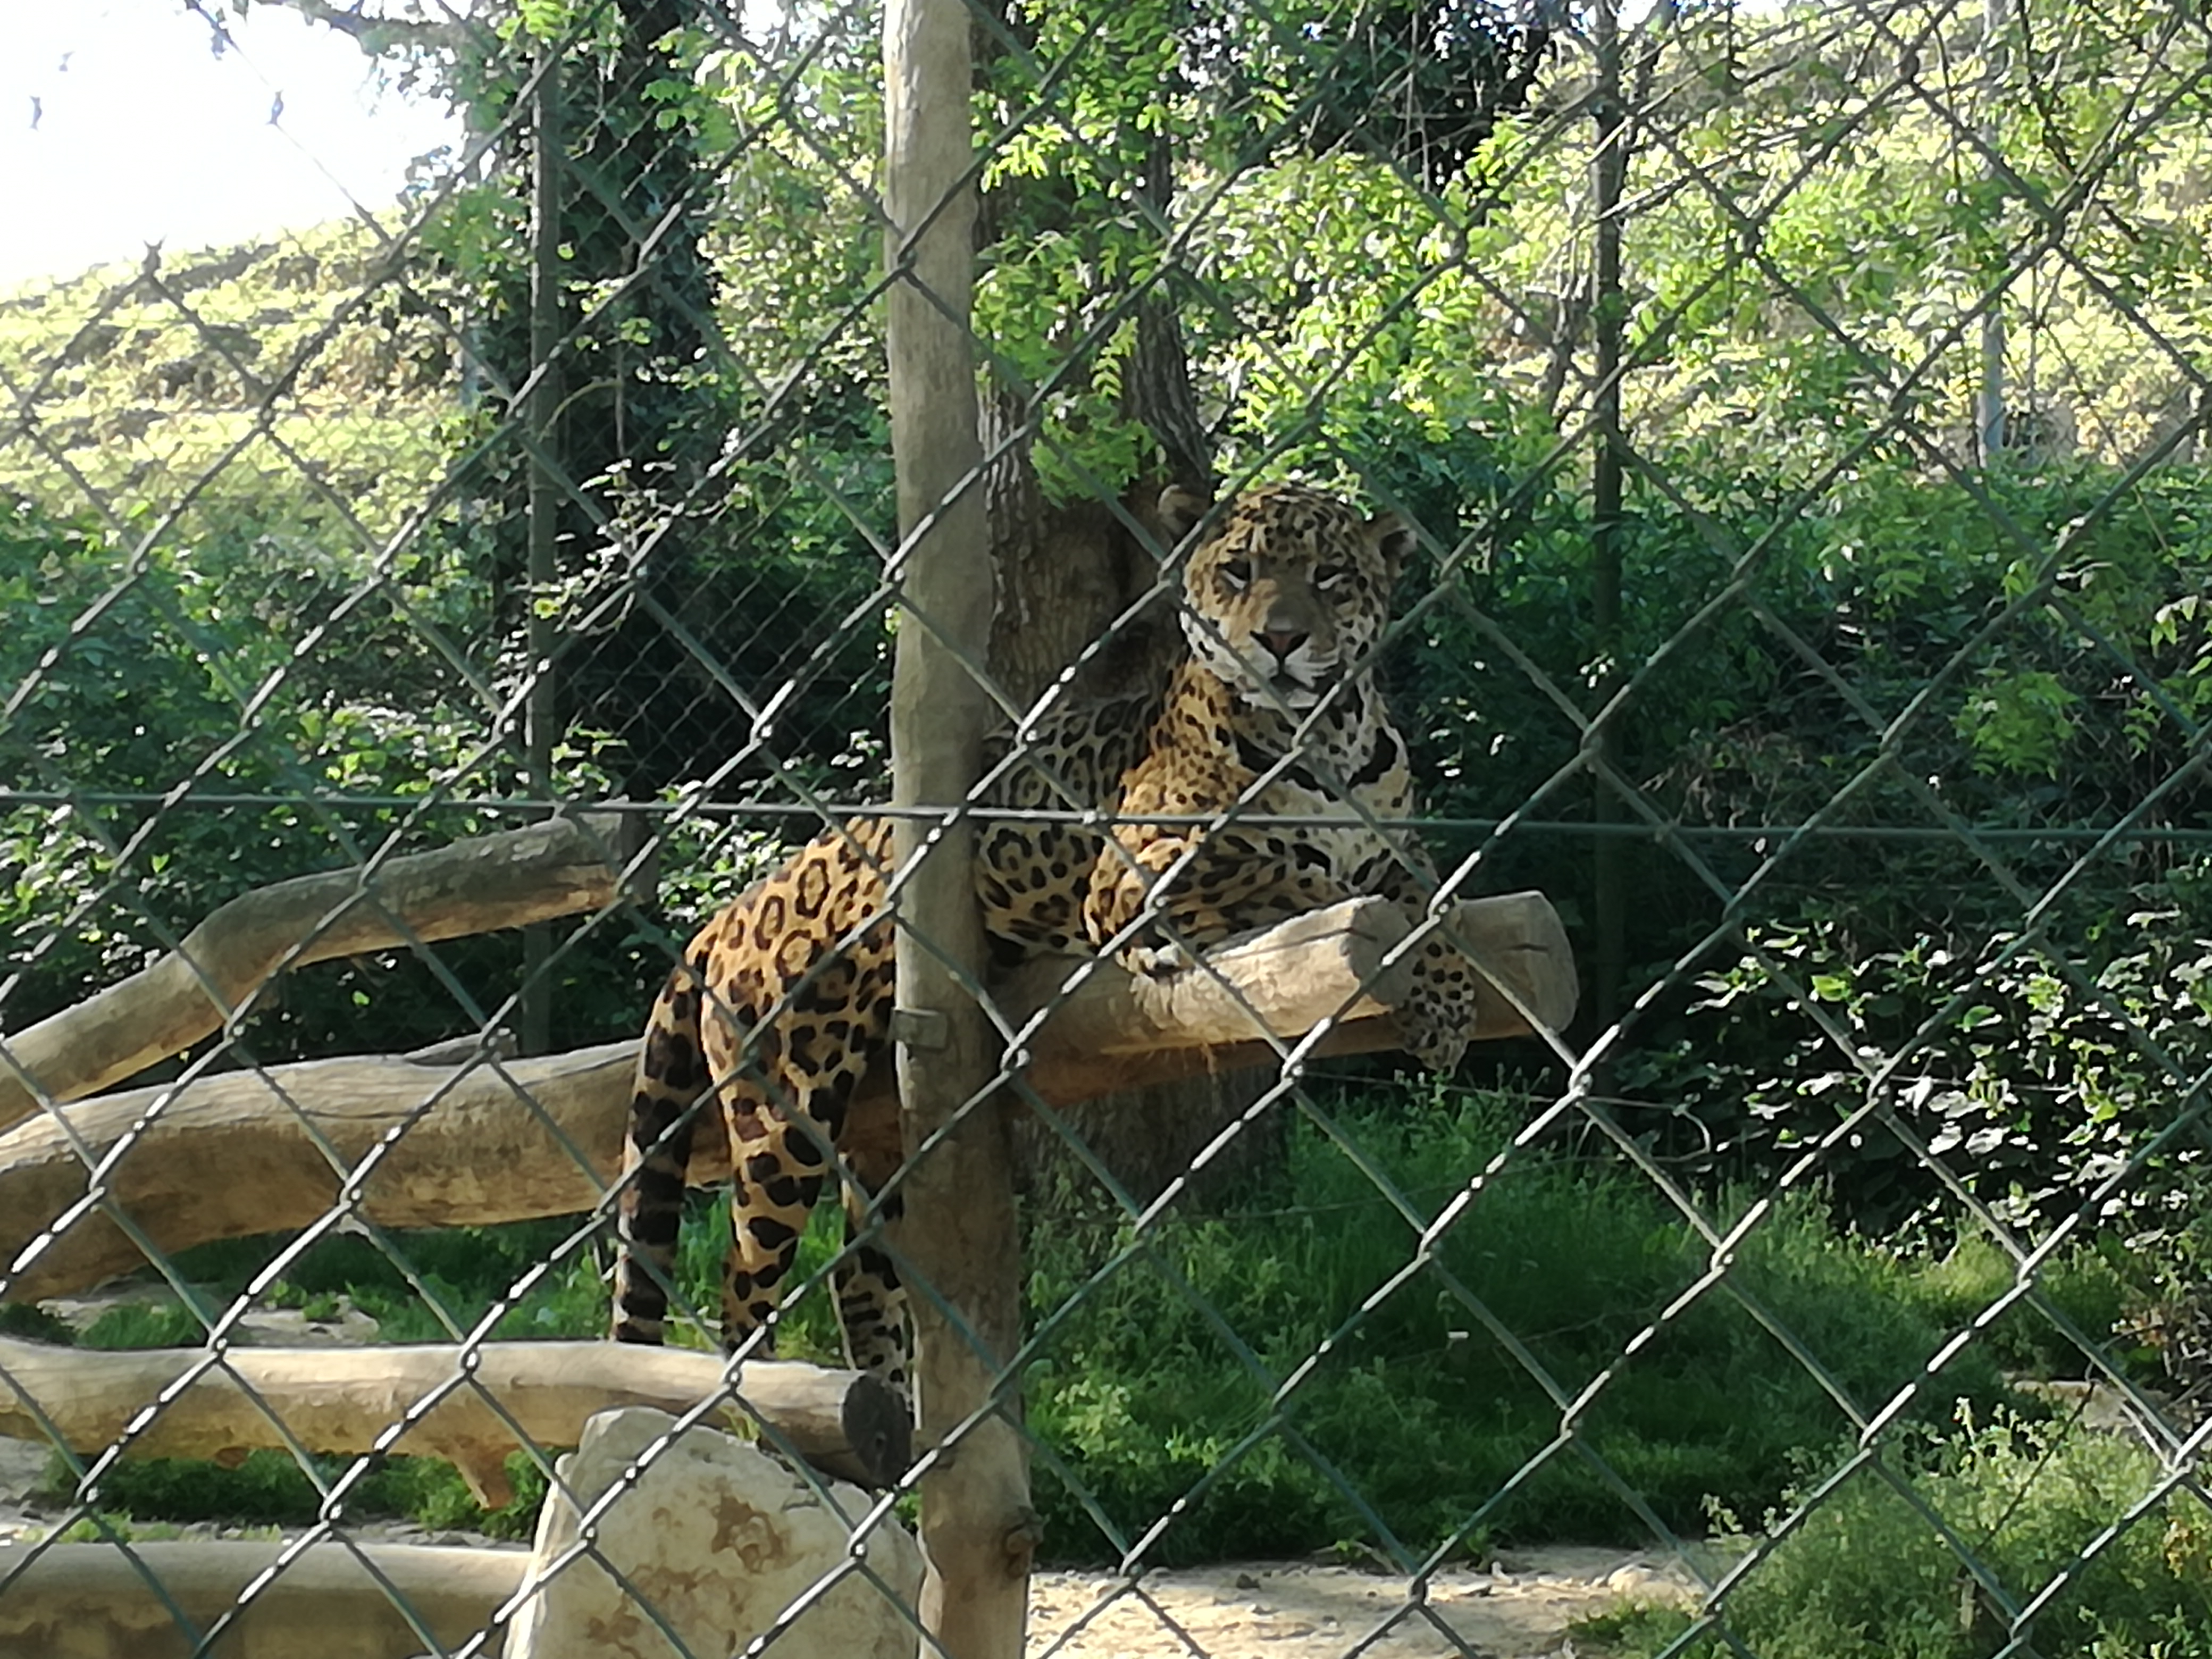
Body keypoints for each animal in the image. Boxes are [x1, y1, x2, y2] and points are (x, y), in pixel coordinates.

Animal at [609, 481, 1481, 1404]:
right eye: (1239, 571)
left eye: (1330, 577)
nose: (1278, 642)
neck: (1332, 737)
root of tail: (730, 915)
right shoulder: (1144, 871)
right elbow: (1301, 879)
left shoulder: (1400, 849)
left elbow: (1436, 904)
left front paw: (1447, 1009)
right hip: (782, 1108)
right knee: (743, 1284)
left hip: (878, 1133)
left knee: (860, 1274)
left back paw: (890, 1403)